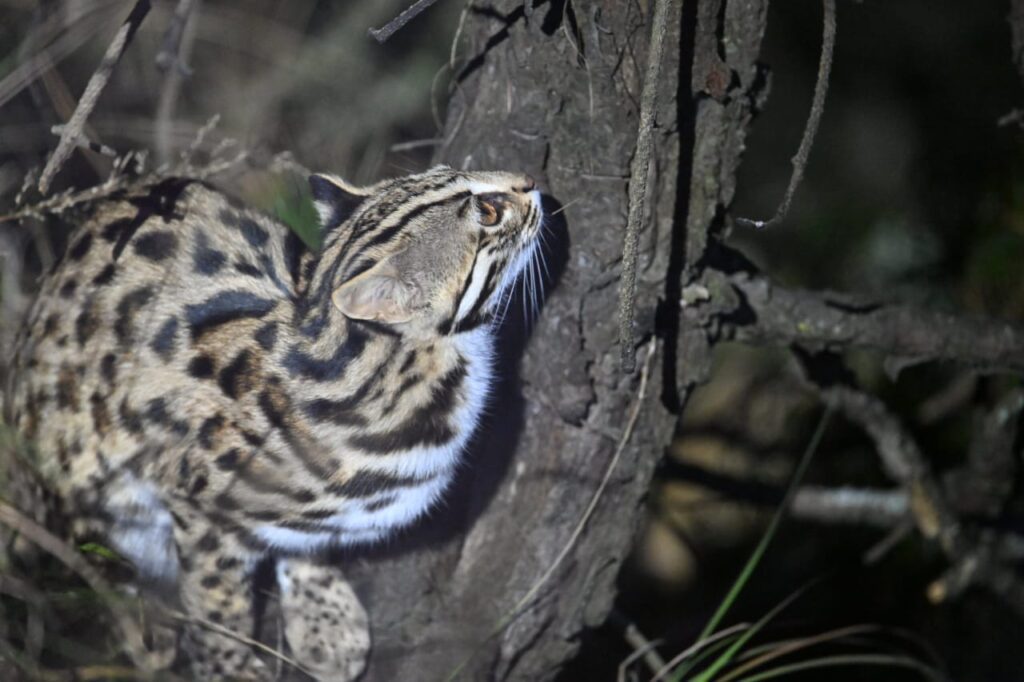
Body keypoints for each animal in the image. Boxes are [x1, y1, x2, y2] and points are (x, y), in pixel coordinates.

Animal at [2, 165, 544, 679]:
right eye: (488, 213)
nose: (530, 181)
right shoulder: (198, 501)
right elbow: (217, 600)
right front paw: (230, 667)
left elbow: (306, 541)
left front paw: (323, 616)